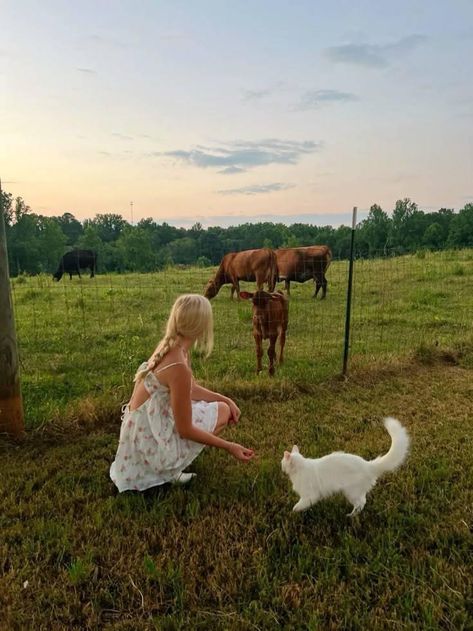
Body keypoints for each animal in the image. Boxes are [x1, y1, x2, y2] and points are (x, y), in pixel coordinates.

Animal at [280, 418, 410, 516]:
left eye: (282, 462)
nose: (281, 467)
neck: (300, 468)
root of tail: (367, 464)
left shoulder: (309, 495)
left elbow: (299, 506)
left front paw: (294, 511)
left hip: (352, 492)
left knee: (361, 503)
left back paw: (351, 516)